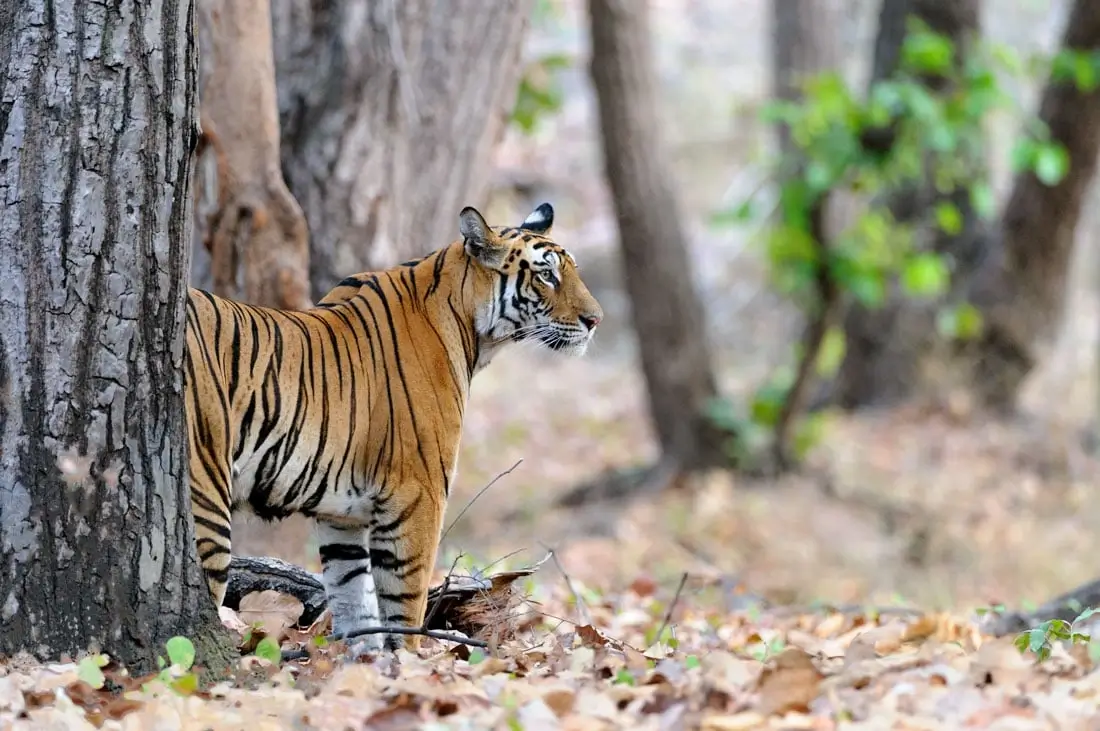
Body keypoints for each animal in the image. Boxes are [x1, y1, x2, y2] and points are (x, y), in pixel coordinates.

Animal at [184, 202, 603, 654]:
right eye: (547, 276)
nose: (595, 320)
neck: (473, 331)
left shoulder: (340, 515)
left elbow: (354, 598)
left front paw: (367, 663)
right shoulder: (419, 492)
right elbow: (406, 599)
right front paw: (412, 661)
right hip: (205, 497)